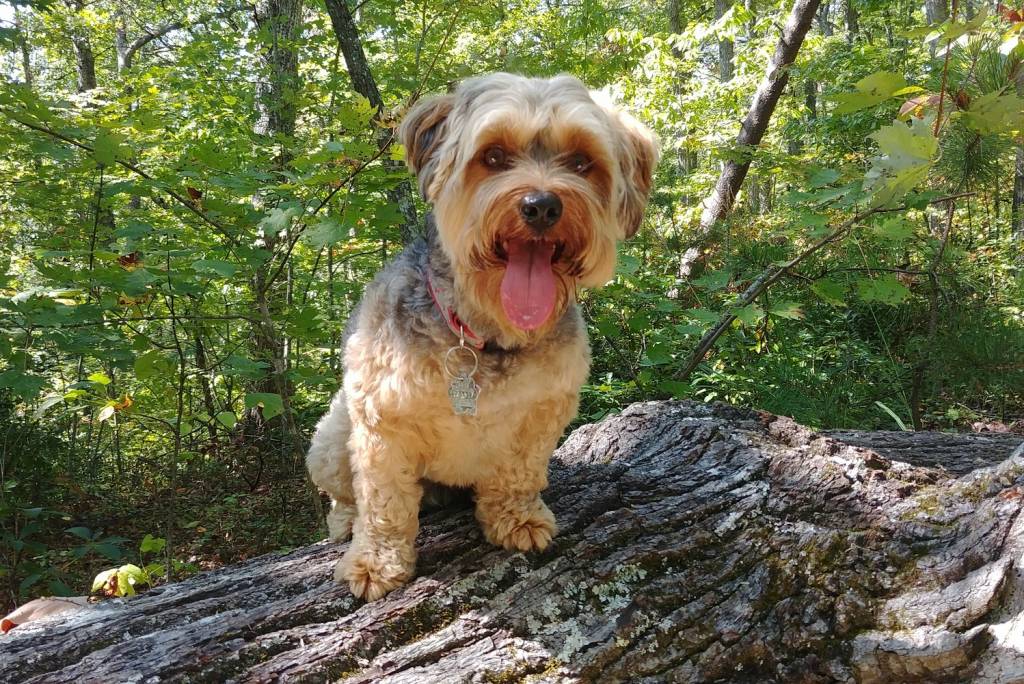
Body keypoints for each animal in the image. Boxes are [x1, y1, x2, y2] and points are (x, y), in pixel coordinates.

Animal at [306, 73, 658, 601]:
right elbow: (384, 503)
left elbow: (518, 473)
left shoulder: (544, 412)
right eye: (492, 156)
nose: (542, 205)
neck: (482, 337)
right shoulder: (383, 425)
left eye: (581, 162)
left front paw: (516, 518)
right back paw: (346, 523)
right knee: (343, 496)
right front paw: (376, 563)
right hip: (330, 439)